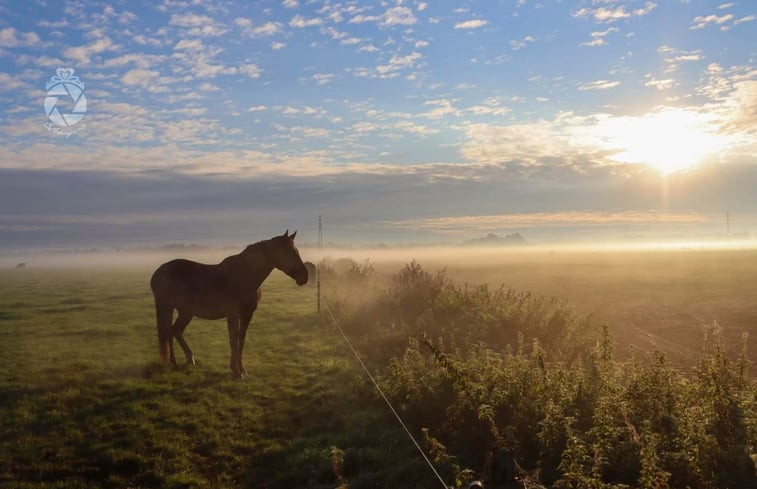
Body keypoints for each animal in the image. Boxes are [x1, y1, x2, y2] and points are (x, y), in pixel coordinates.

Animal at [150, 229, 308, 378]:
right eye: (289, 253)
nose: (304, 277)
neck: (245, 275)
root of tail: (159, 271)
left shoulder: (247, 315)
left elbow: (241, 341)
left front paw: (242, 370)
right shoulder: (233, 315)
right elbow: (233, 341)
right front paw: (236, 372)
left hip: (186, 312)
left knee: (175, 331)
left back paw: (189, 359)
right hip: (168, 308)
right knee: (169, 332)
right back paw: (174, 363)